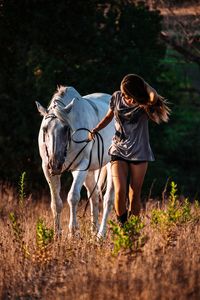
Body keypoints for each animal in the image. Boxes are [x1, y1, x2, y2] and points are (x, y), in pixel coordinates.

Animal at [35, 85, 114, 238]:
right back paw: (93, 231)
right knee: (94, 196)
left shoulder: (81, 166)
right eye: (45, 129)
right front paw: (57, 234)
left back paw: (100, 234)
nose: (56, 164)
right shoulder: (47, 169)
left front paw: (72, 232)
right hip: (90, 172)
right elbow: (56, 203)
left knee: (108, 199)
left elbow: (73, 197)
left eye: (66, 128)